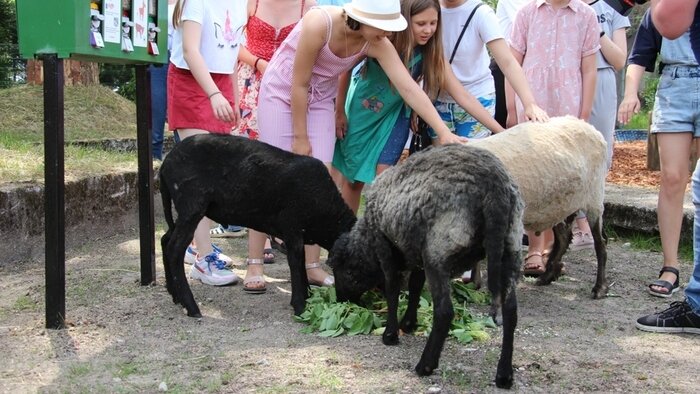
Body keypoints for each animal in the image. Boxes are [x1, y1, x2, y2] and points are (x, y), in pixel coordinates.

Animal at [159, 135, 356, 318]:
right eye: (350, 271)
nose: (349, 302)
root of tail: (165, 164)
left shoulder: (297, 233)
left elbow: (301, 263)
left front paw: (308, 296)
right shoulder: (292, 228)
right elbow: (295, 263)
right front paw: (300, 306)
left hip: (183, 211)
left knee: (165, 239)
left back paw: (174, 295)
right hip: (191, 206)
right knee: (174, 249)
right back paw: (191, 307)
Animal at [326, 144, 520, 388]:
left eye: (341, 271)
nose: (341, 299)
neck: (366, 239)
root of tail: (495, 186)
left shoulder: (384, 244)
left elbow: (393, 288)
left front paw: (390, 334)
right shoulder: (415, 250)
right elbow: (416, 286)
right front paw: (409, 323)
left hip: (439, 251)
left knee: (445, 311)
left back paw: (425, 365)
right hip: (510, 248)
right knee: (511, 311)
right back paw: (504, 375)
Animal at [474, 115, 608, 298]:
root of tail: (587, 125)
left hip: (594, 196)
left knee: (600, 243)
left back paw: (599, 288)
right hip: (559, 205)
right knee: (564, 237)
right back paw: (547, 276)